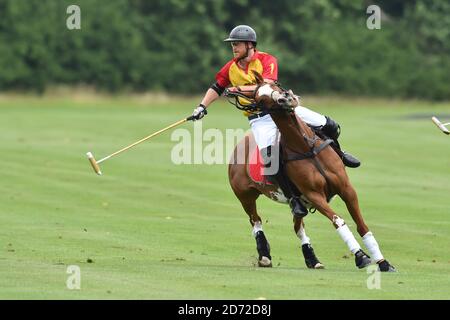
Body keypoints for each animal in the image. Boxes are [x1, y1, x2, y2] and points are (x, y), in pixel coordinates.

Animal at [227, 70, 396, 272]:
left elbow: (361, 225)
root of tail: (239, 145)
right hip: (245, 196)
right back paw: (265, 256)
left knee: (298, 227)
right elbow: (338, 221)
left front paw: (383, 262)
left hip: (297, 204)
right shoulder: (315, 195)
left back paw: (312, 259)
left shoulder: (346, 189)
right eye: (261, 100)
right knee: (256, 221)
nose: (286, 99)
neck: (305, 147)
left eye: (276, 85)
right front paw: (361, 256)